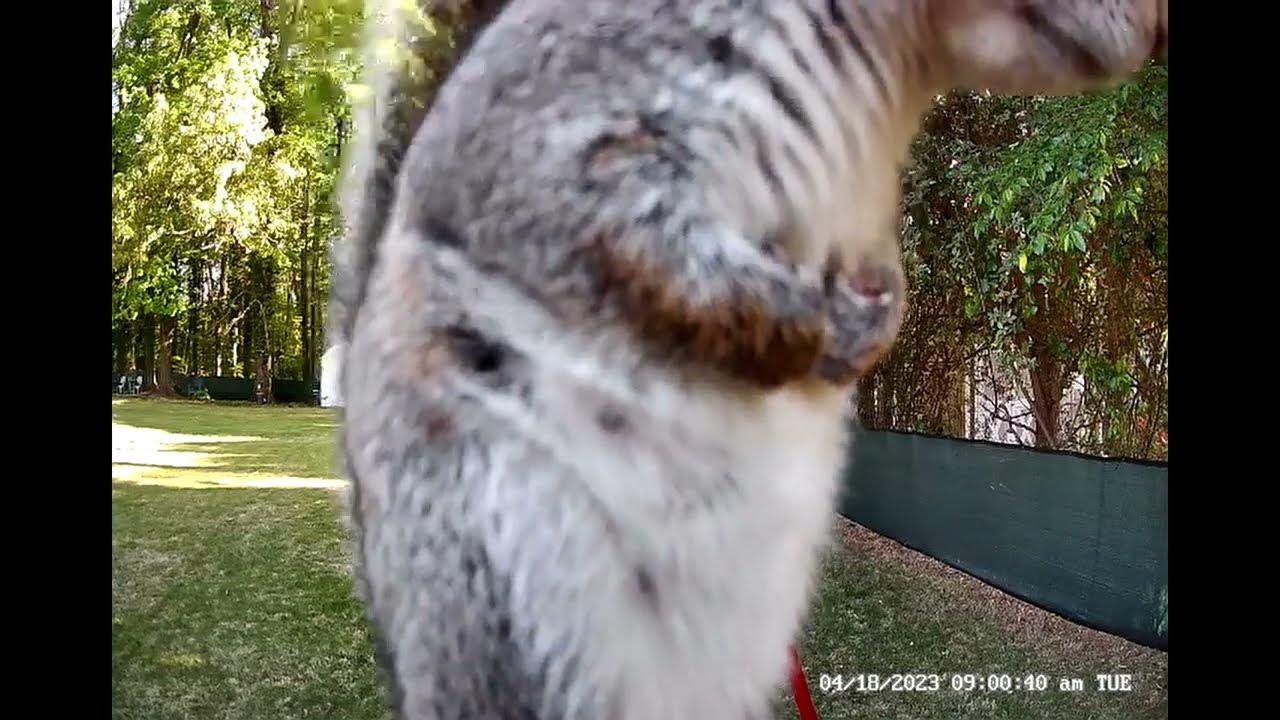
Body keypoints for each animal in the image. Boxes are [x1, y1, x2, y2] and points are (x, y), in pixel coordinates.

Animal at [331, 1, 1166, 718]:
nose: (1158, 26)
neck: (888, 74)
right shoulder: (560, 132)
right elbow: (643, 249)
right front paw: (816, 323)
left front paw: (876, 317)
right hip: (516, 578)